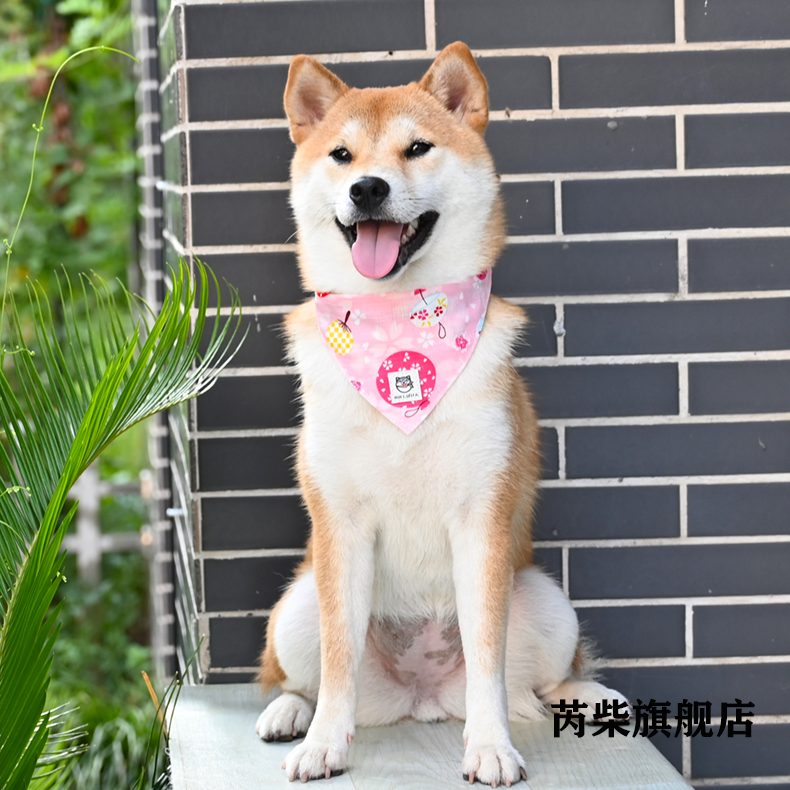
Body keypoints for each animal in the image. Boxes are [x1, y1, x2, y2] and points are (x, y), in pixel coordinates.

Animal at [255, 42, 629, 786]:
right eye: (341, 155)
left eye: (417, 147)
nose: (367, 188)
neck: (398, 324)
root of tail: (419, 700)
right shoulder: (341, 524)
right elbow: (338, 660)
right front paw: (325, 743)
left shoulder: (481, 517)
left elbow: (486, 656)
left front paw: (489, 748)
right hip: (295, 605)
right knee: (294, 675)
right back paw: (289, 713)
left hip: (548, 601)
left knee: (539, 682)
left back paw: (588, 696)